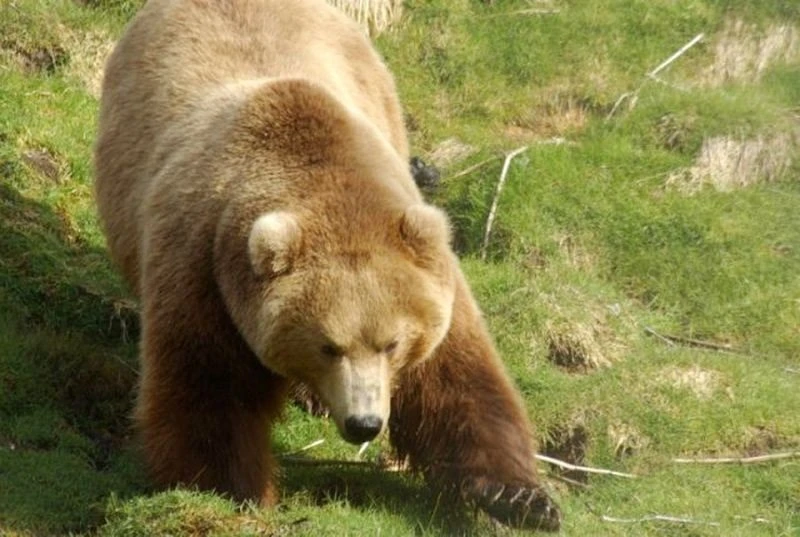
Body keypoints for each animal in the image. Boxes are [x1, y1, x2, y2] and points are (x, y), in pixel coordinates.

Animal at [94, 0, 560, 530]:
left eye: (392, 343)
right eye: (327, 346)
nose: (364, 423)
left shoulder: (421, 263)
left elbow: (456, 375)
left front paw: (521, 497)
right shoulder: (203, 266)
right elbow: (208, 388)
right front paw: (228, 491)